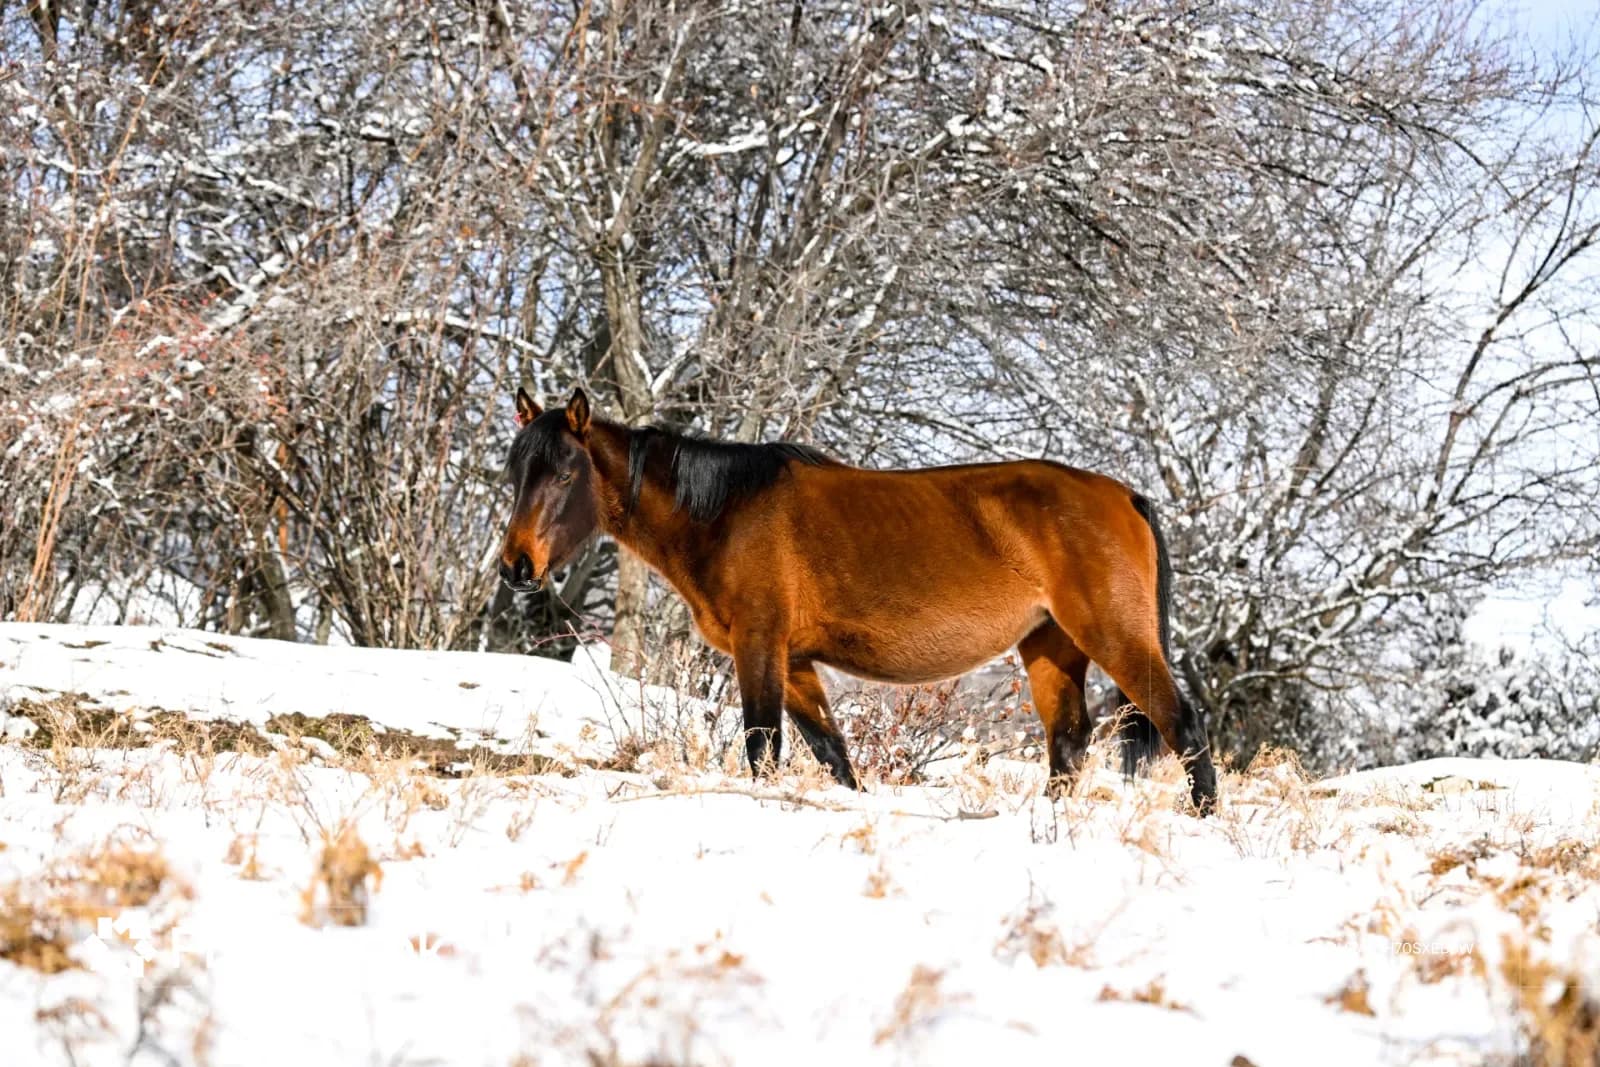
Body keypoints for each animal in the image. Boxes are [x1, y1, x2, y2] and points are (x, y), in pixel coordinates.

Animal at [497, 386, 1217, 814]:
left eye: (564, 473)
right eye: (515, 473)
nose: (516, 566)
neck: (726, 513)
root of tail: (1124, 495)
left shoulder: (760, 646)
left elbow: (763, 745)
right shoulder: (793, 662)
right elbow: (831, 752)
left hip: (1115, 637)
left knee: (1181, 724)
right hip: (1050, 645)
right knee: (1068, 742)